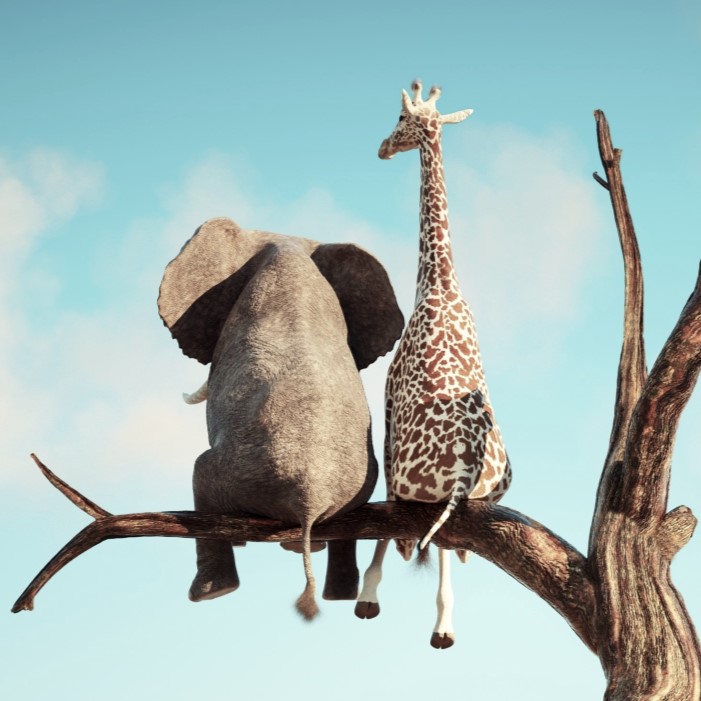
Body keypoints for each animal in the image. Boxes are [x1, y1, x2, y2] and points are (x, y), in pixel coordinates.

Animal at [355, 80, 512, 649]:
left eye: (401, 117)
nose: (382, 146)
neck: (437, 284)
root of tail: (466, 467)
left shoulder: (386, 403)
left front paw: (369, 593)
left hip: (412, 482)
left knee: (409, 526)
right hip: (483, 494)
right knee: (448, 537)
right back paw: (443, 626)